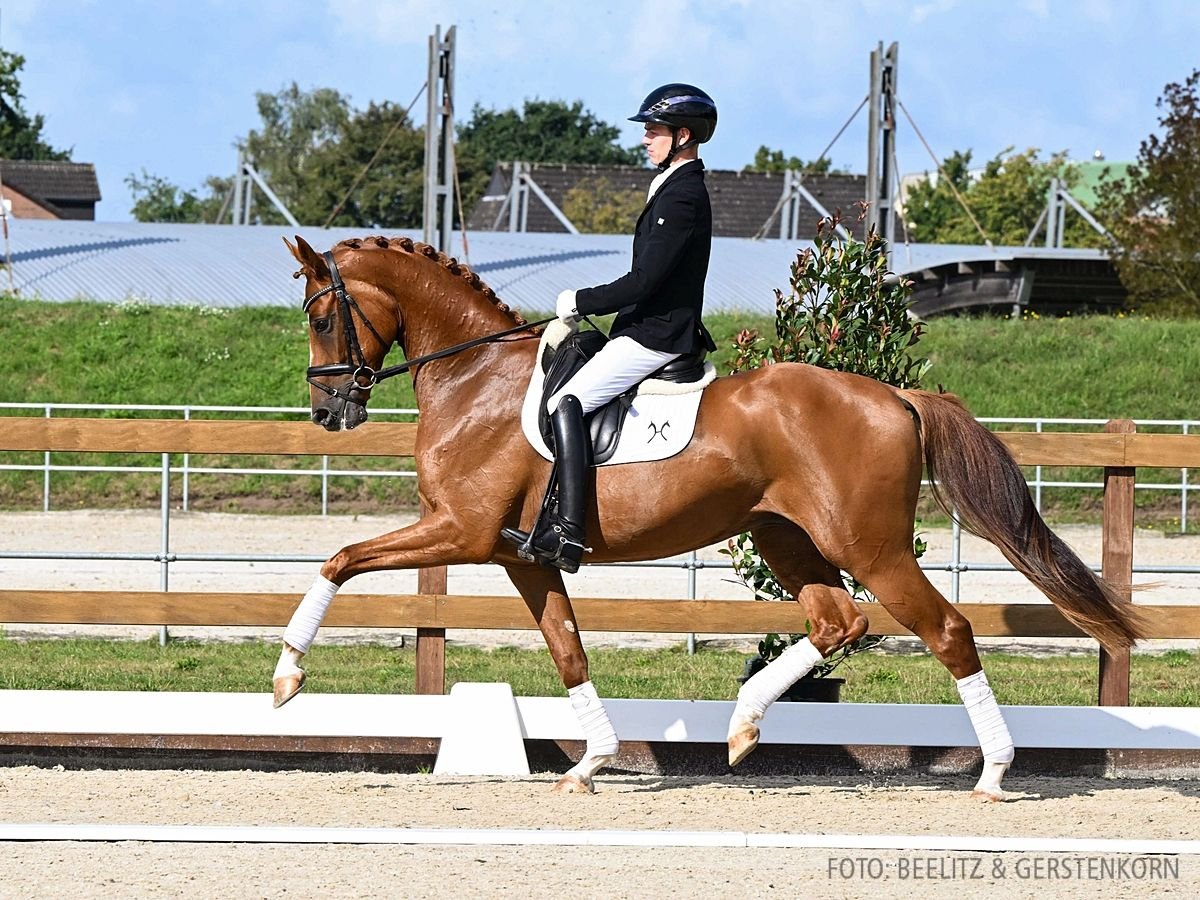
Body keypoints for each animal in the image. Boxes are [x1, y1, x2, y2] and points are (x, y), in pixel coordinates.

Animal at [274, 236, 1142, 801]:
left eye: (320, 318)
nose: (327, 412)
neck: (475, 375)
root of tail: (895, 394)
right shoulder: (523, 556)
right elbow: (567, 650)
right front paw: (592, 763)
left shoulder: (463, 530)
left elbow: (340, 559)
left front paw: (288, 677)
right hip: (784, 536)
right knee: (838, 622)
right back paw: (744, 725)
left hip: (871, 546)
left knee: (946, 630)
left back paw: (994, 774)